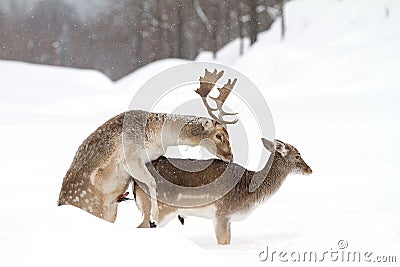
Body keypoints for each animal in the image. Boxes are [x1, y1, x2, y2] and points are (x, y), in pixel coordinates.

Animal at [58, 68, 239, 225]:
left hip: (110, 211)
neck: (157, 138)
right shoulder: (131, 157)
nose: (230, 156)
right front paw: (155, 216)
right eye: (219, 135)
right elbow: (152, 182)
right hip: (93, 205)